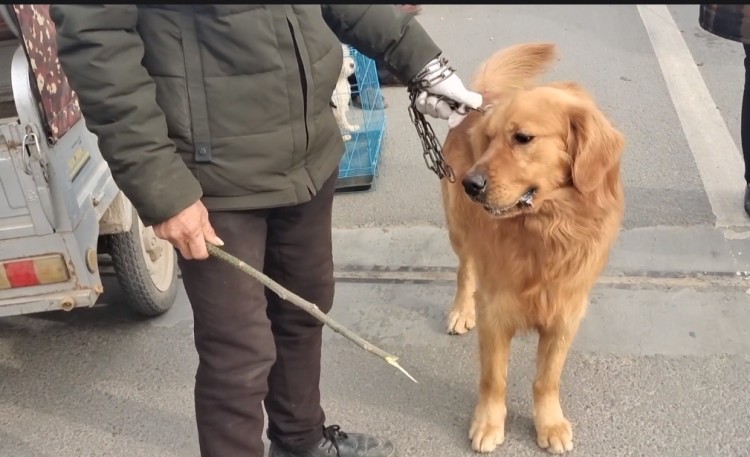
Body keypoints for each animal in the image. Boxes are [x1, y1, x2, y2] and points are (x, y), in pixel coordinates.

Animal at [440, 41, 628, 452]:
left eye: (522, 138)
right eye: (489, 140)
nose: (470, 183)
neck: (548, 229)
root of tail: (481, 96)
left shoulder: (565, 312)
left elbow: (547, 379)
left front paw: (550, 423)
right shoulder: (495, 310)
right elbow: (494, 378)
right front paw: (489, 423)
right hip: (459, 229)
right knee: (465, 270)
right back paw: (461, 310)